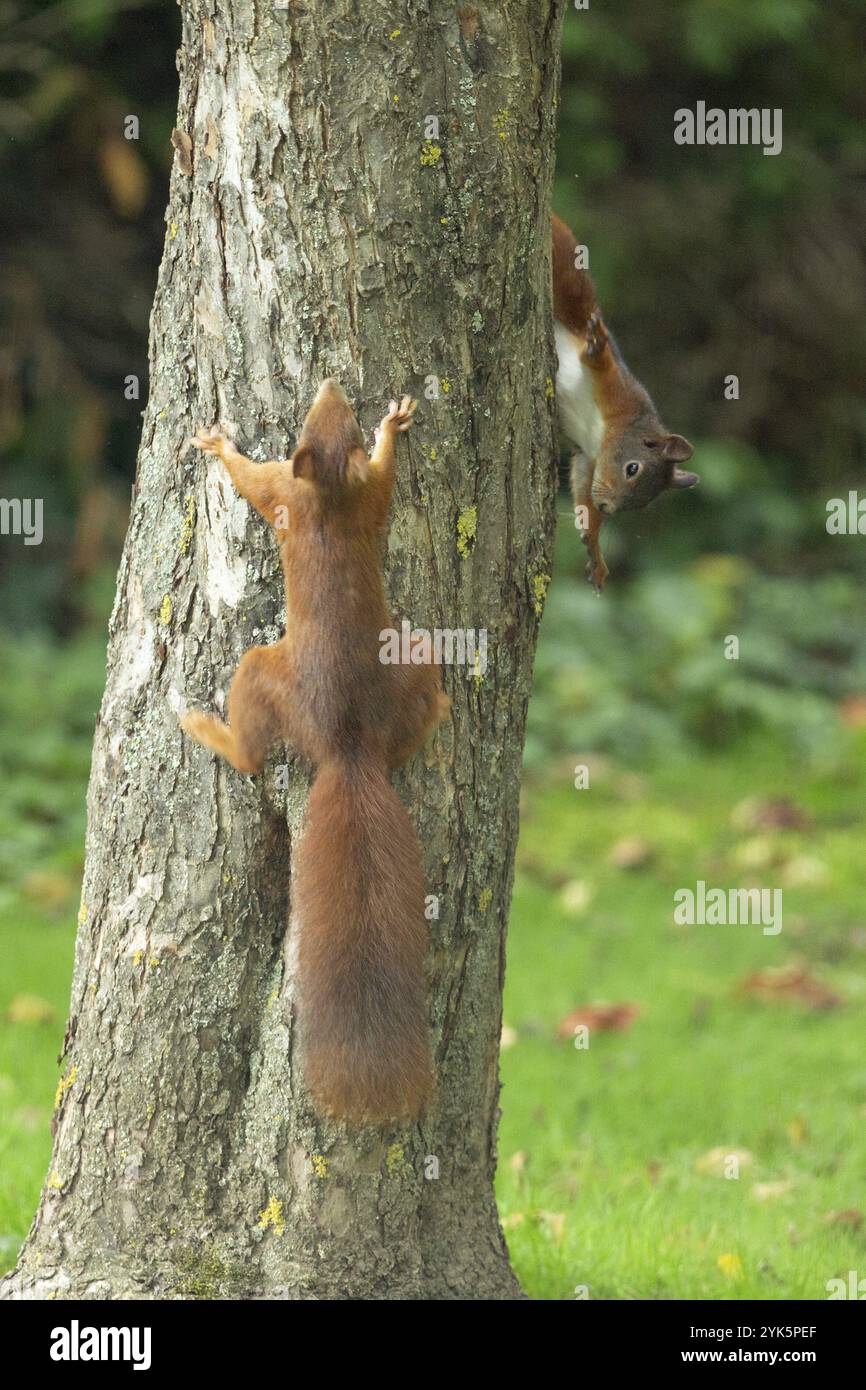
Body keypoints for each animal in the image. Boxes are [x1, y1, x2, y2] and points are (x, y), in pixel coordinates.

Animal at [184, 383, 453, 1128]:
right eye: (329, 417)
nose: (332, 383)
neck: (329, 488)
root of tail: (349, 747)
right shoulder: (360, 488)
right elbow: (384, 473)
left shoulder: (285, 486)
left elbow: (250, 480)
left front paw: (218, 446)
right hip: (416, 660)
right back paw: (442, 710)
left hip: (261, 671)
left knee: (250, 756)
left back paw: (207, 728)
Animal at [553, 211, 700, 592]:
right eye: (632, 468)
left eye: (644, 503)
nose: (608, 507)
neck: (602, 430)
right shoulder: (620, 392)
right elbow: (600, 365)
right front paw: (598, 349)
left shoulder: (588, 458)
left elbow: (582, 491)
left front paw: (594, 549)